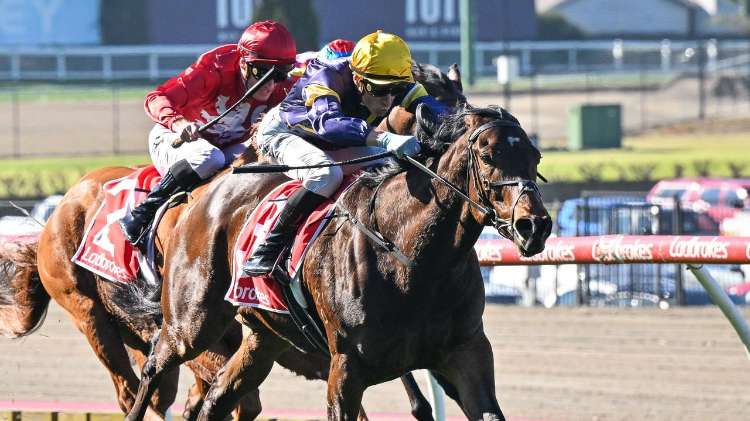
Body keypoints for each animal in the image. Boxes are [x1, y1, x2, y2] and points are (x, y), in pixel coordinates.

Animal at [123, 102, 552, 421]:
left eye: (535, 155)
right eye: (487, 156)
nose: (535, 225)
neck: (414, 262)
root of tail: (205, 193)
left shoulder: (466, 353)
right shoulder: (346, 368)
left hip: (264, 337)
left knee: (217, 399)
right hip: (191, 323)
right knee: (154, 367)